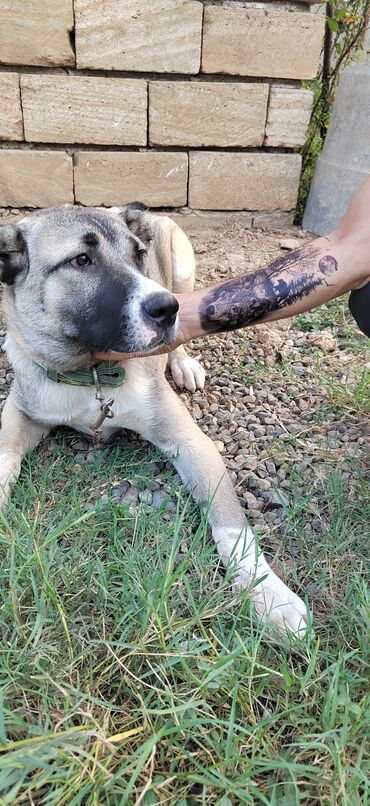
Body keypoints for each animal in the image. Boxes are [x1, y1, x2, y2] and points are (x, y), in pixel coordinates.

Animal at [0, 207, 308, 636]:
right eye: (81, 260)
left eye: (138, 255)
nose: (168, 308)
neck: (90, 374)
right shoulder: (19, 411)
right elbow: (4, 457)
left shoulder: (192, 443)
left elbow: (231, 521)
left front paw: (269, 593)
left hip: (181, 268)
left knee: (180, 340)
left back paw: (183, 364)